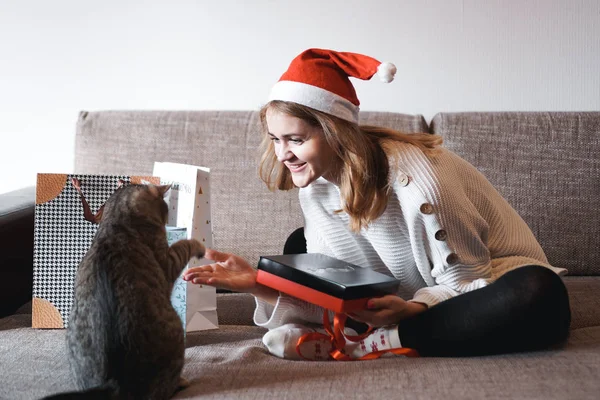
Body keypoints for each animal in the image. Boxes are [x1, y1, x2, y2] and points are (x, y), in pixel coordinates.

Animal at [42, 183, 206, 398]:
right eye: (165, 207)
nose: (168, 217)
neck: (116, 223)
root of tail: (115, 381)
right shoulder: (168, 261)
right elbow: (184, 244)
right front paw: (199, 246)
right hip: (176, 331)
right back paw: (181, 381)